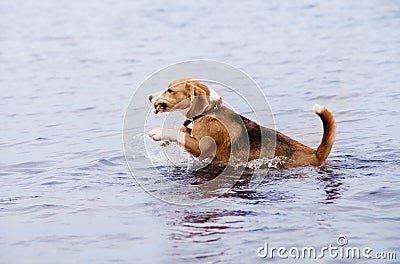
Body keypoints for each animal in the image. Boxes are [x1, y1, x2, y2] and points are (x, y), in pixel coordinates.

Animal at [148, 78, 336, 167]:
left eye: (170, 90)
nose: (149, 97)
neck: (210, 110)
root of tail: (316, 153)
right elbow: (182, 130)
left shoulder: (202, 149)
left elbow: (177, 132)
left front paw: (157, 133)